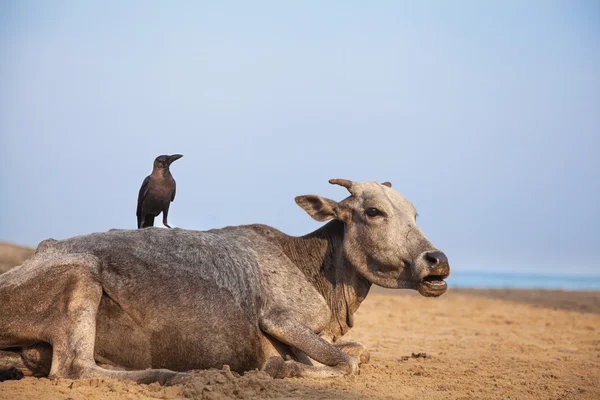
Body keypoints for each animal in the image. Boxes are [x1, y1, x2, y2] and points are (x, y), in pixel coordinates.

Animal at [0, 179, 450, 384]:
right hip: (82, 278)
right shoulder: (279, 319)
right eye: (373, 212)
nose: (438, 261)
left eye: (414, 213)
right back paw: (170, 375)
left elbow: (360, 352)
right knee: (73, 367)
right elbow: (348, 362)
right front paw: (283, 367)